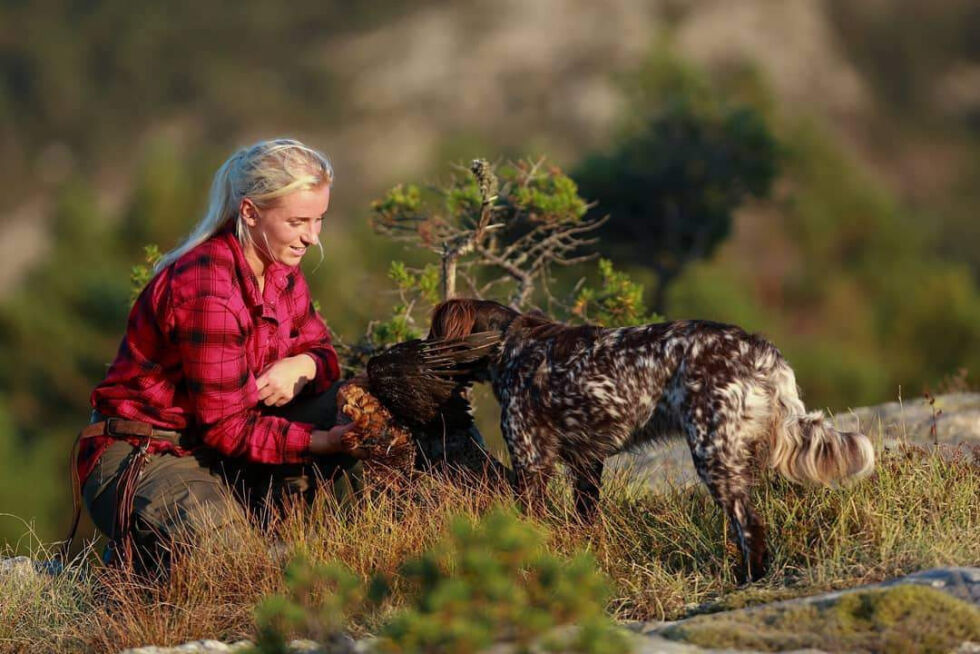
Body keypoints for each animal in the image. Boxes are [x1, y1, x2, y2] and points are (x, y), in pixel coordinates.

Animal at [426, 300, 872, 580]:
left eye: (433, 330)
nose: (419, 350)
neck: (510, 348)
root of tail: (760, 350)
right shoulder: (586, 465)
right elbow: (585, 522)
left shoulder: (531, 462)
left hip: (713, 454)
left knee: (749, 526)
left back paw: (747, 579)